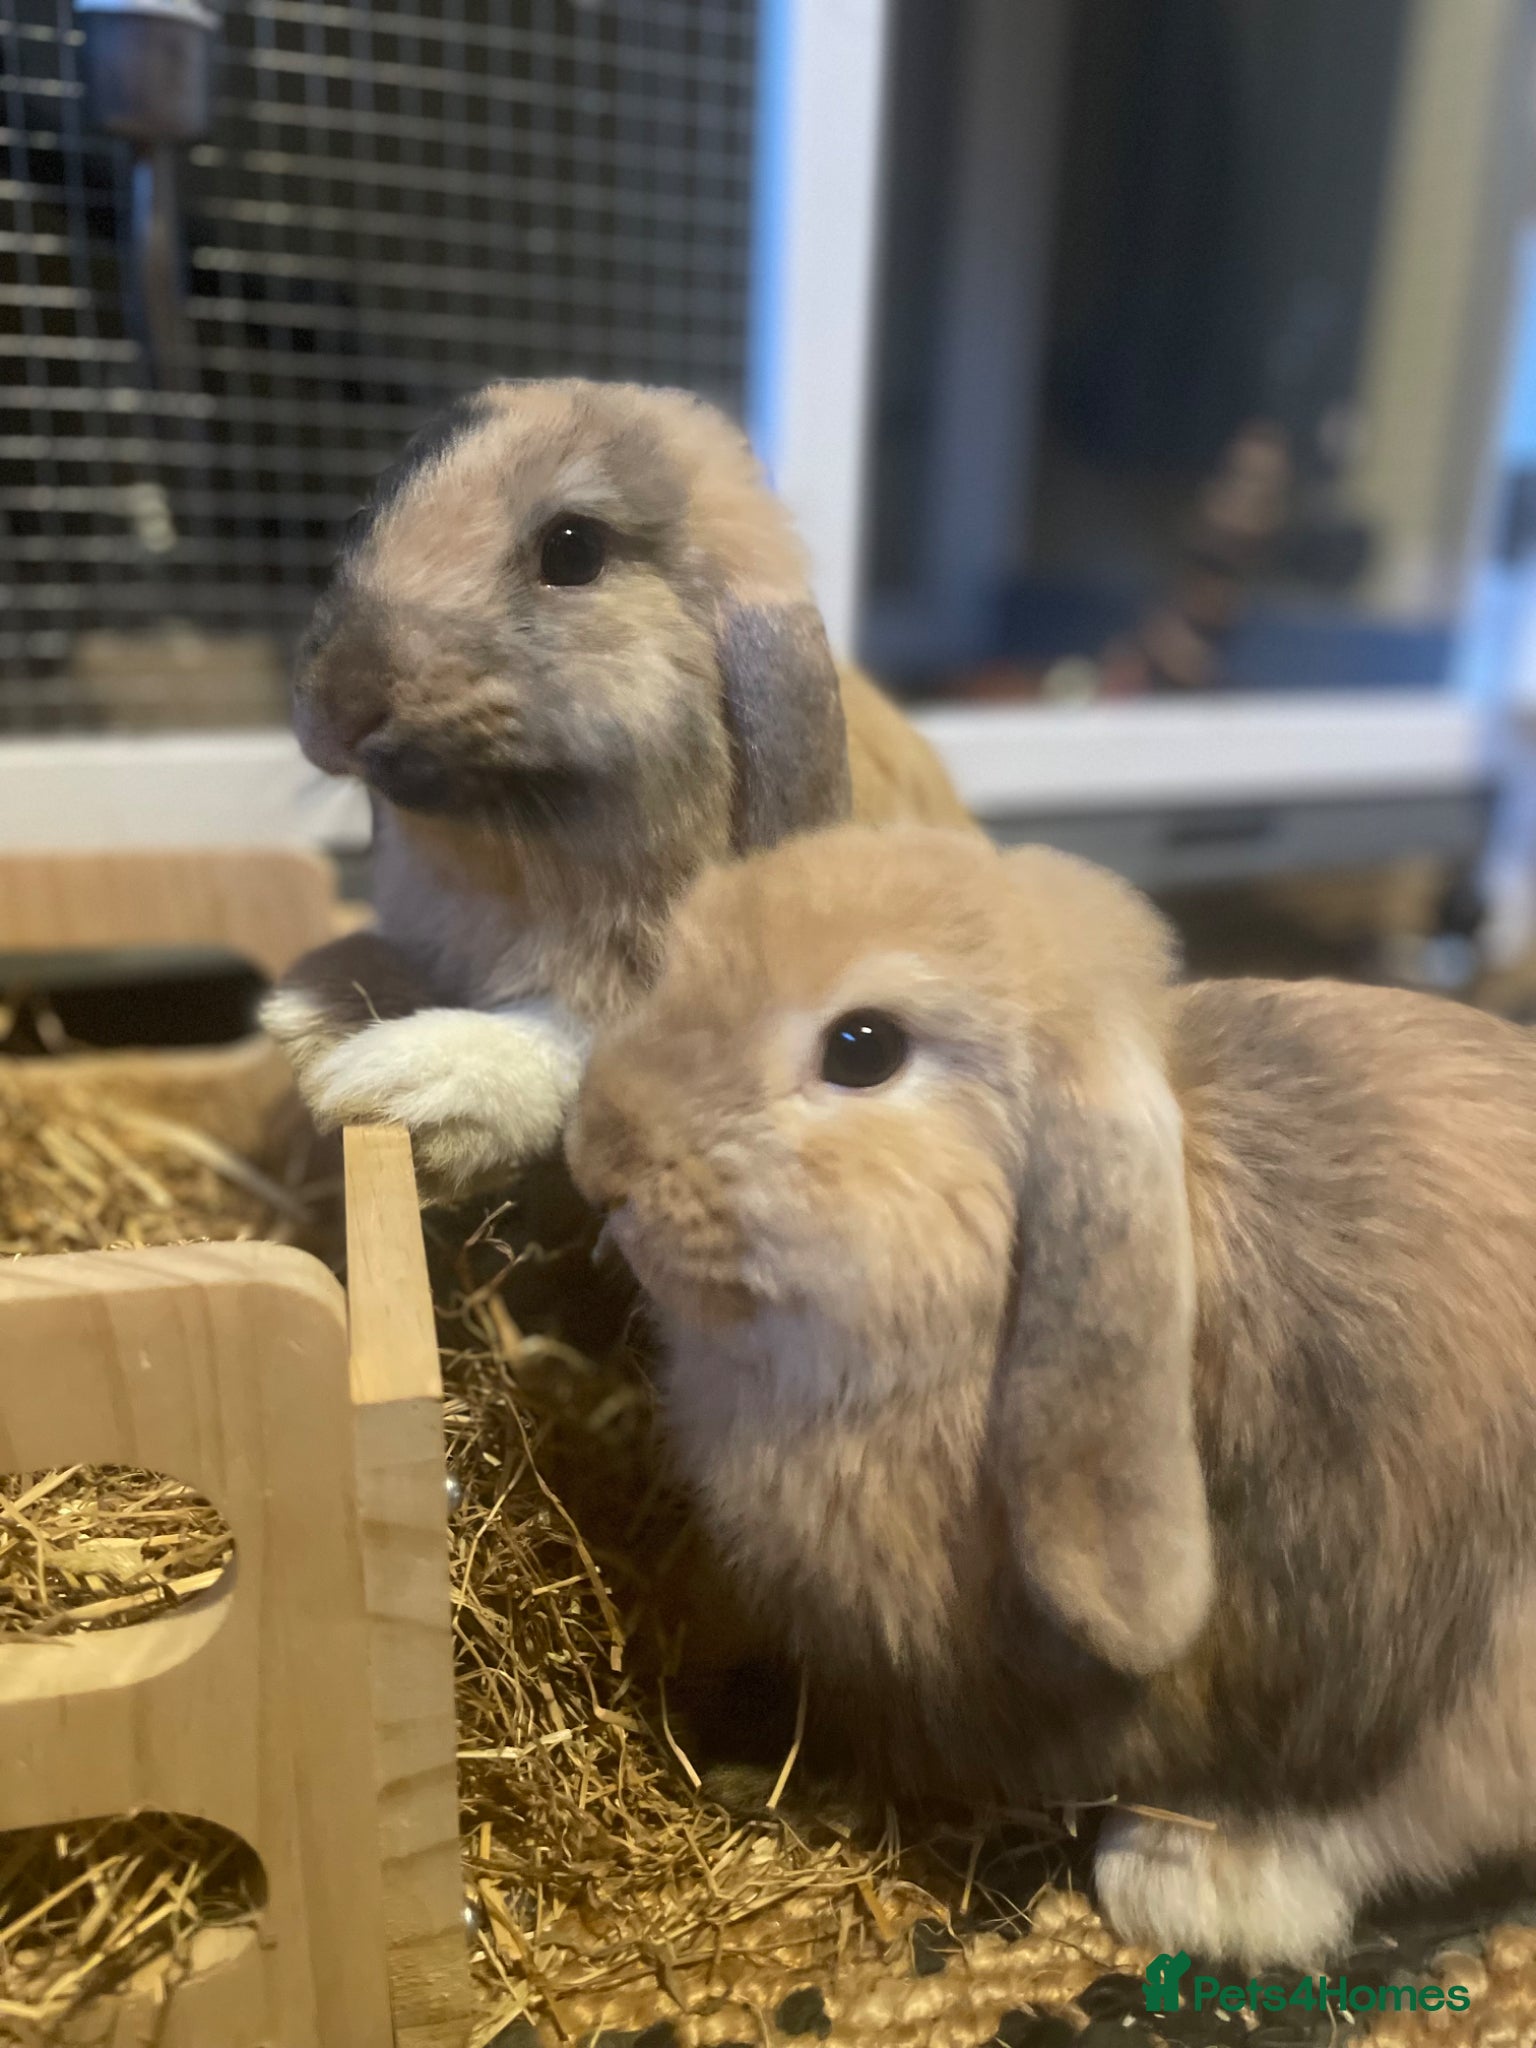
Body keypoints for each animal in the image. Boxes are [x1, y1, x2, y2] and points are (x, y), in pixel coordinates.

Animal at [261, 379, 974, 1199]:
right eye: (360, 520)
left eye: (574, 549)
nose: (338, 707)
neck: (509, 858)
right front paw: (311, 1003)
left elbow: (556, 1047)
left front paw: (394, 1079)